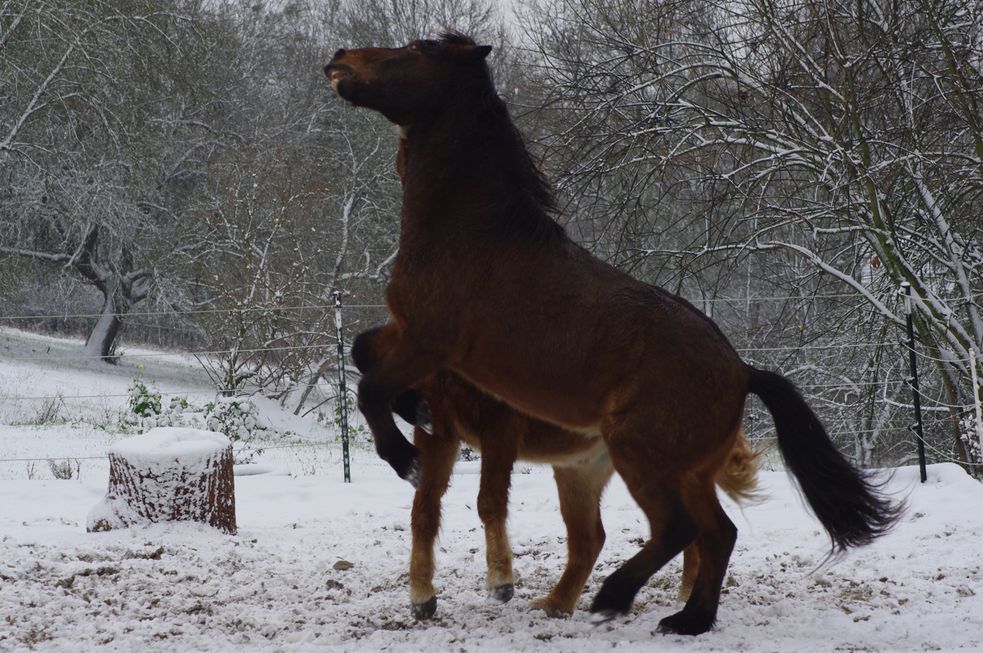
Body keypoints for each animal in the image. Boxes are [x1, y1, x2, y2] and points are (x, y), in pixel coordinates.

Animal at [326, 33, 904, 636]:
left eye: (419, 49)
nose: (340, 60)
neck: (473, 233)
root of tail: (743, 371)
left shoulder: (430, 341)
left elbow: (369, 386)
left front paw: (402, 457)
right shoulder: (413, 337)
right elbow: (362, 351)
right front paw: (414, 412)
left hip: (641, 455)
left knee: (678, 530)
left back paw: (614, 595)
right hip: (686, 471)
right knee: (717, 533)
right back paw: (688, 619)